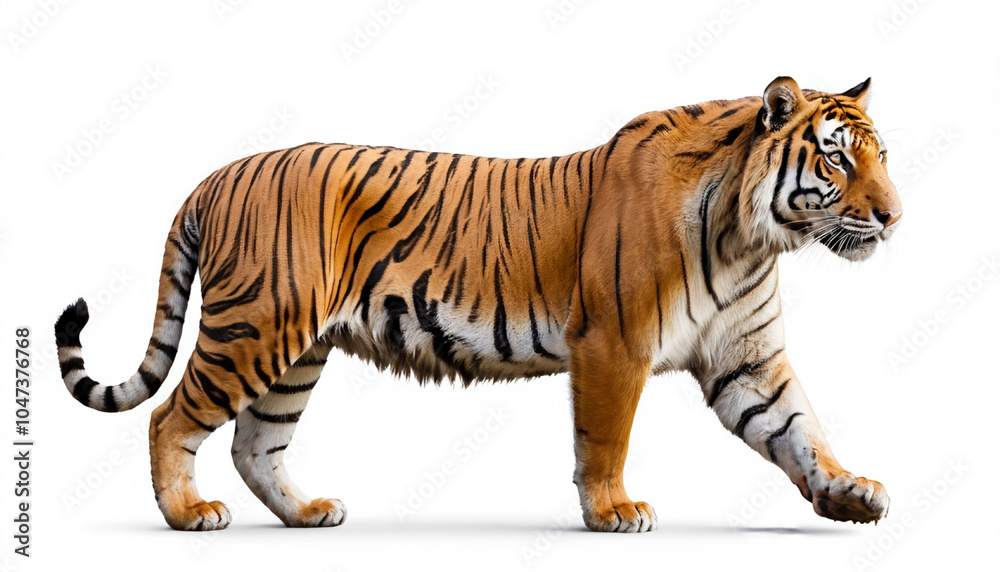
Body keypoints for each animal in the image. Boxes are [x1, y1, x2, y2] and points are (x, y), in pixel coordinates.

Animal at [54, 76, 899, 532]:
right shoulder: (614, 344)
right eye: (836, 159)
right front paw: (613, 512)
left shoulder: (747, 361)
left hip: (296, 351)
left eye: (881, 157)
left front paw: (850, 492)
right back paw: (187, 514)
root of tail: (215, 175)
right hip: (254, 327)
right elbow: (606, 441)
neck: (751, 238)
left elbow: (800, 431)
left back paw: (306, 513)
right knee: (171, 418)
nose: (894, 215)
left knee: (255, 443)